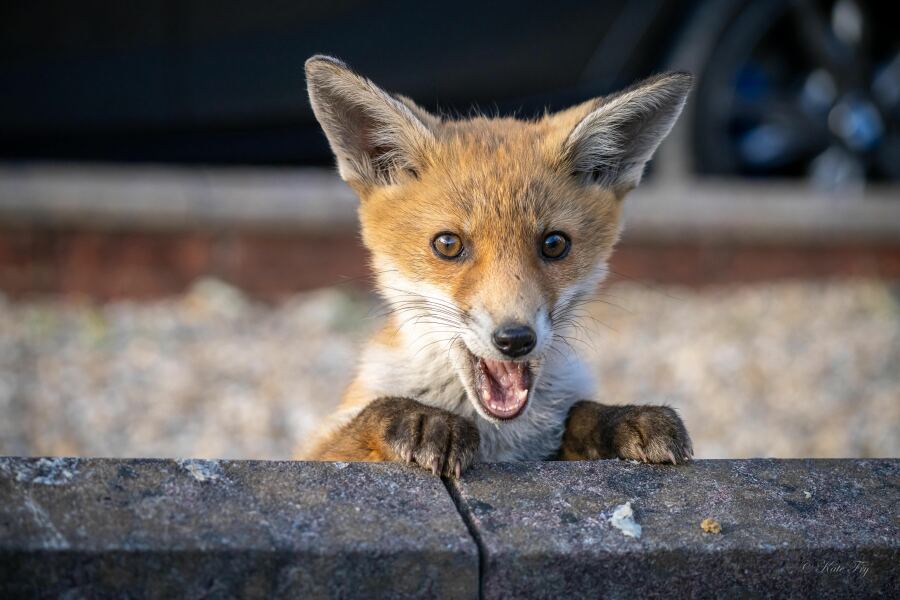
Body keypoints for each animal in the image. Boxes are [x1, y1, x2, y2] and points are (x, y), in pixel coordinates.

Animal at [298, 55, 693, 477]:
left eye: (554, 244)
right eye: (448, 245)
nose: (515, 340)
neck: (494, 435)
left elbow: (577, 414)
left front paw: (624, 418)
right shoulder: (316, 450)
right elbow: (371, 415)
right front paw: (421, 419)